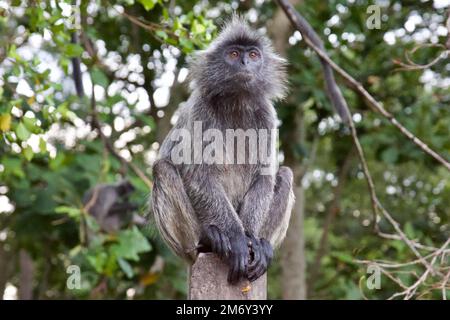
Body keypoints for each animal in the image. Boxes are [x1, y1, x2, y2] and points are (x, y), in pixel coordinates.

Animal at [151, 16, 296, 284]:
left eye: (253, 55)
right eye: (234, 54)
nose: (244, 63)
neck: (236, 101)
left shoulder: (267, 115)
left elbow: (264, 178)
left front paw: (251, 240)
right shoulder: (200, 108)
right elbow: (199, 176)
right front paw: (237, 239)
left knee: (285, 174)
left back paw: (263, 245)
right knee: (162, 168)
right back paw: (208, 240)